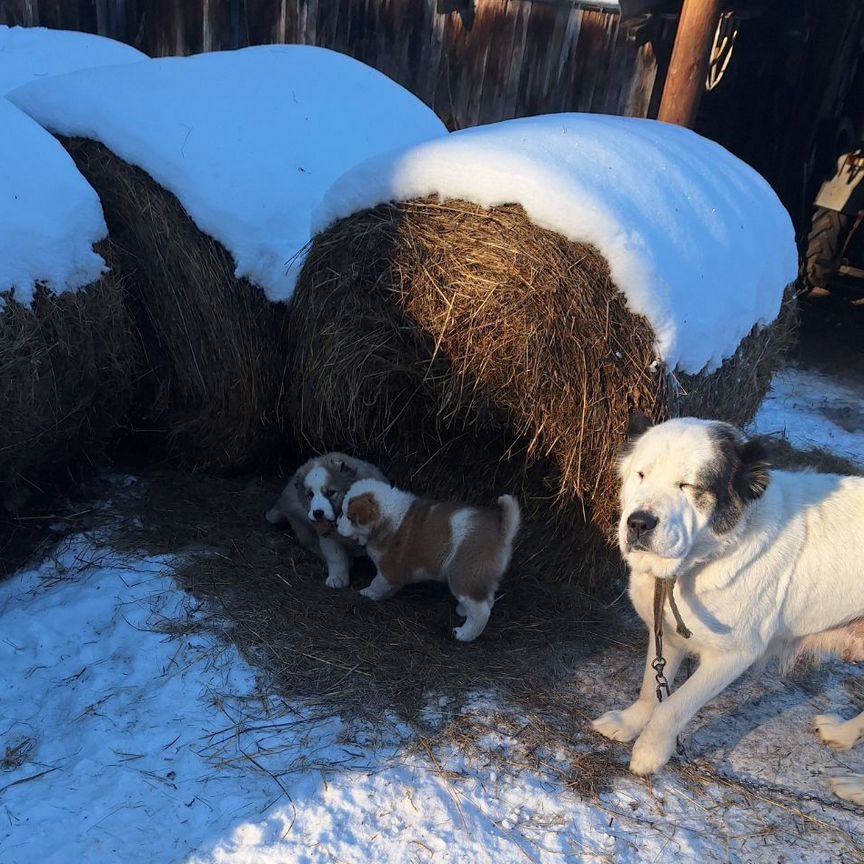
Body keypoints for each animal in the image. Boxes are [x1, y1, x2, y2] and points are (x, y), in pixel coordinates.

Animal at [264, 452, 384, 588]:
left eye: (331, 492)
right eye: (310, 495)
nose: (318, 513)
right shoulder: (328, 537)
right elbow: (336, 557)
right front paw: (337, 578)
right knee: (310, 544)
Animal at [332, 480, 520, 640]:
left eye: (348, 516)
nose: (336, 523)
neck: (387, 516)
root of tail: (502, 533)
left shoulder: (388, 570)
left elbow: (377, 583)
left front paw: (367, 593)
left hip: (464, 574)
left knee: (481, 610)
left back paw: (464, 634)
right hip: (481, 576)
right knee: (487, 599)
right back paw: (463, 611)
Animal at [592, 412, 864, 804]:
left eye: (688, 485)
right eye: (641, 474)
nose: (639, 522)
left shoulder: (734, 656)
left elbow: (672, 708)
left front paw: (649, 752)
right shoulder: (667, 634)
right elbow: (649, 688)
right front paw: (629, 723)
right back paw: (842, 735)